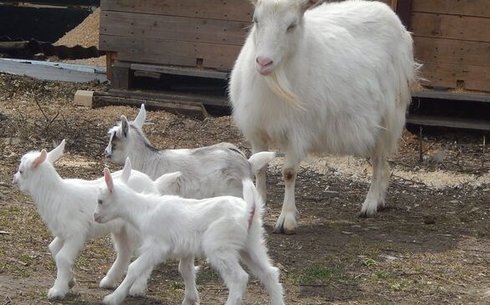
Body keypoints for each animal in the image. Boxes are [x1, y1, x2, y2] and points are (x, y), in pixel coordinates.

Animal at [11, 141, 174, 298]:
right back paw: (109, 281)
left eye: (21, 171)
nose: (14, 179)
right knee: (124, 252)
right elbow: (54, 250)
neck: (56, 194)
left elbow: (62, 257)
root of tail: (154, 185)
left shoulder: (76, 232)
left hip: (138, 230)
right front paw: (70, 281)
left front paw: (57, 291)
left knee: (144, 255)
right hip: (120, 229)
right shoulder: (63, 233)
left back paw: (137, 289)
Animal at [230, 0, 418, 233]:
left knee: (379, 160)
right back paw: (381, 200)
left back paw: (371, 203)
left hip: (389, 117)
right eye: (256, 20)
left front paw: (287, 219)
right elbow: (260, 169)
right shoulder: (257, 131)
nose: (264, 62)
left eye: (291, 25)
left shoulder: (298, 131)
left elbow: (288, 172)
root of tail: (389, 13)